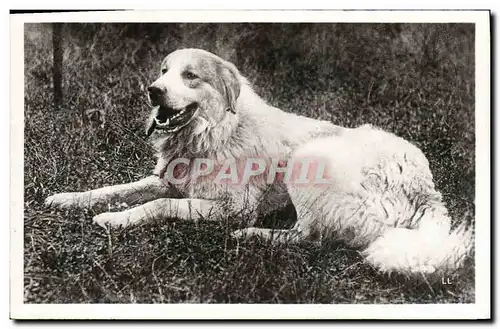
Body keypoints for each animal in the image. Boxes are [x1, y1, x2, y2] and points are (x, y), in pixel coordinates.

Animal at [46, 47, 472, 276]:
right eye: (164, 71)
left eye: (190, 76)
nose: (153, 90)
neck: (213, 131)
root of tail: (426, 188)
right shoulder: (167, 180)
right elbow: (114, 188)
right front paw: (68, 199)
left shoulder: (232, 207)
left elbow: (158, 205)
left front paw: (116, 220)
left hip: (309, 159)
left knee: (308, 236)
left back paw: (253, 236)